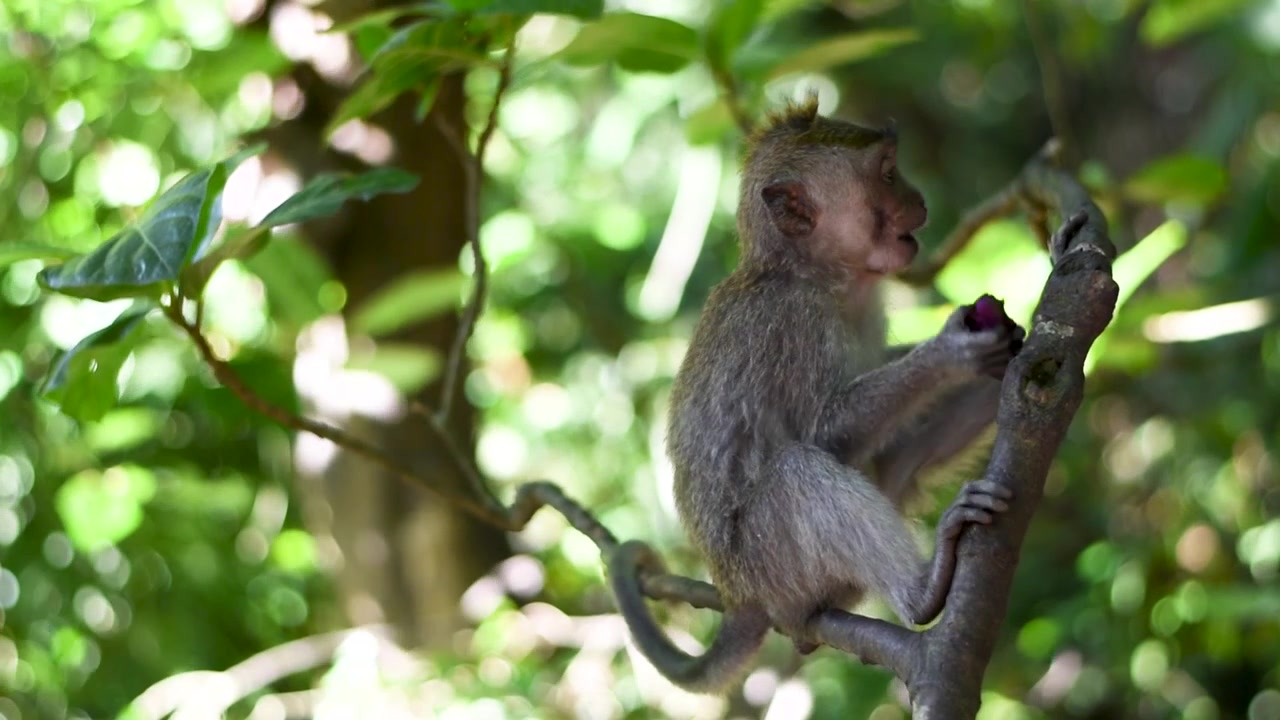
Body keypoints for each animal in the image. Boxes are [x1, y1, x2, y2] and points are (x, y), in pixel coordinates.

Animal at [607, 98, 1025, 693]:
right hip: (770, 565)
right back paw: (923, 590)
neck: (817, 275)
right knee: (795, 472)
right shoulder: (794, 325)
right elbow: (823, 431)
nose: (918, 199)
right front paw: (950, 352)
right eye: (888, 174)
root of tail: (738, 597)